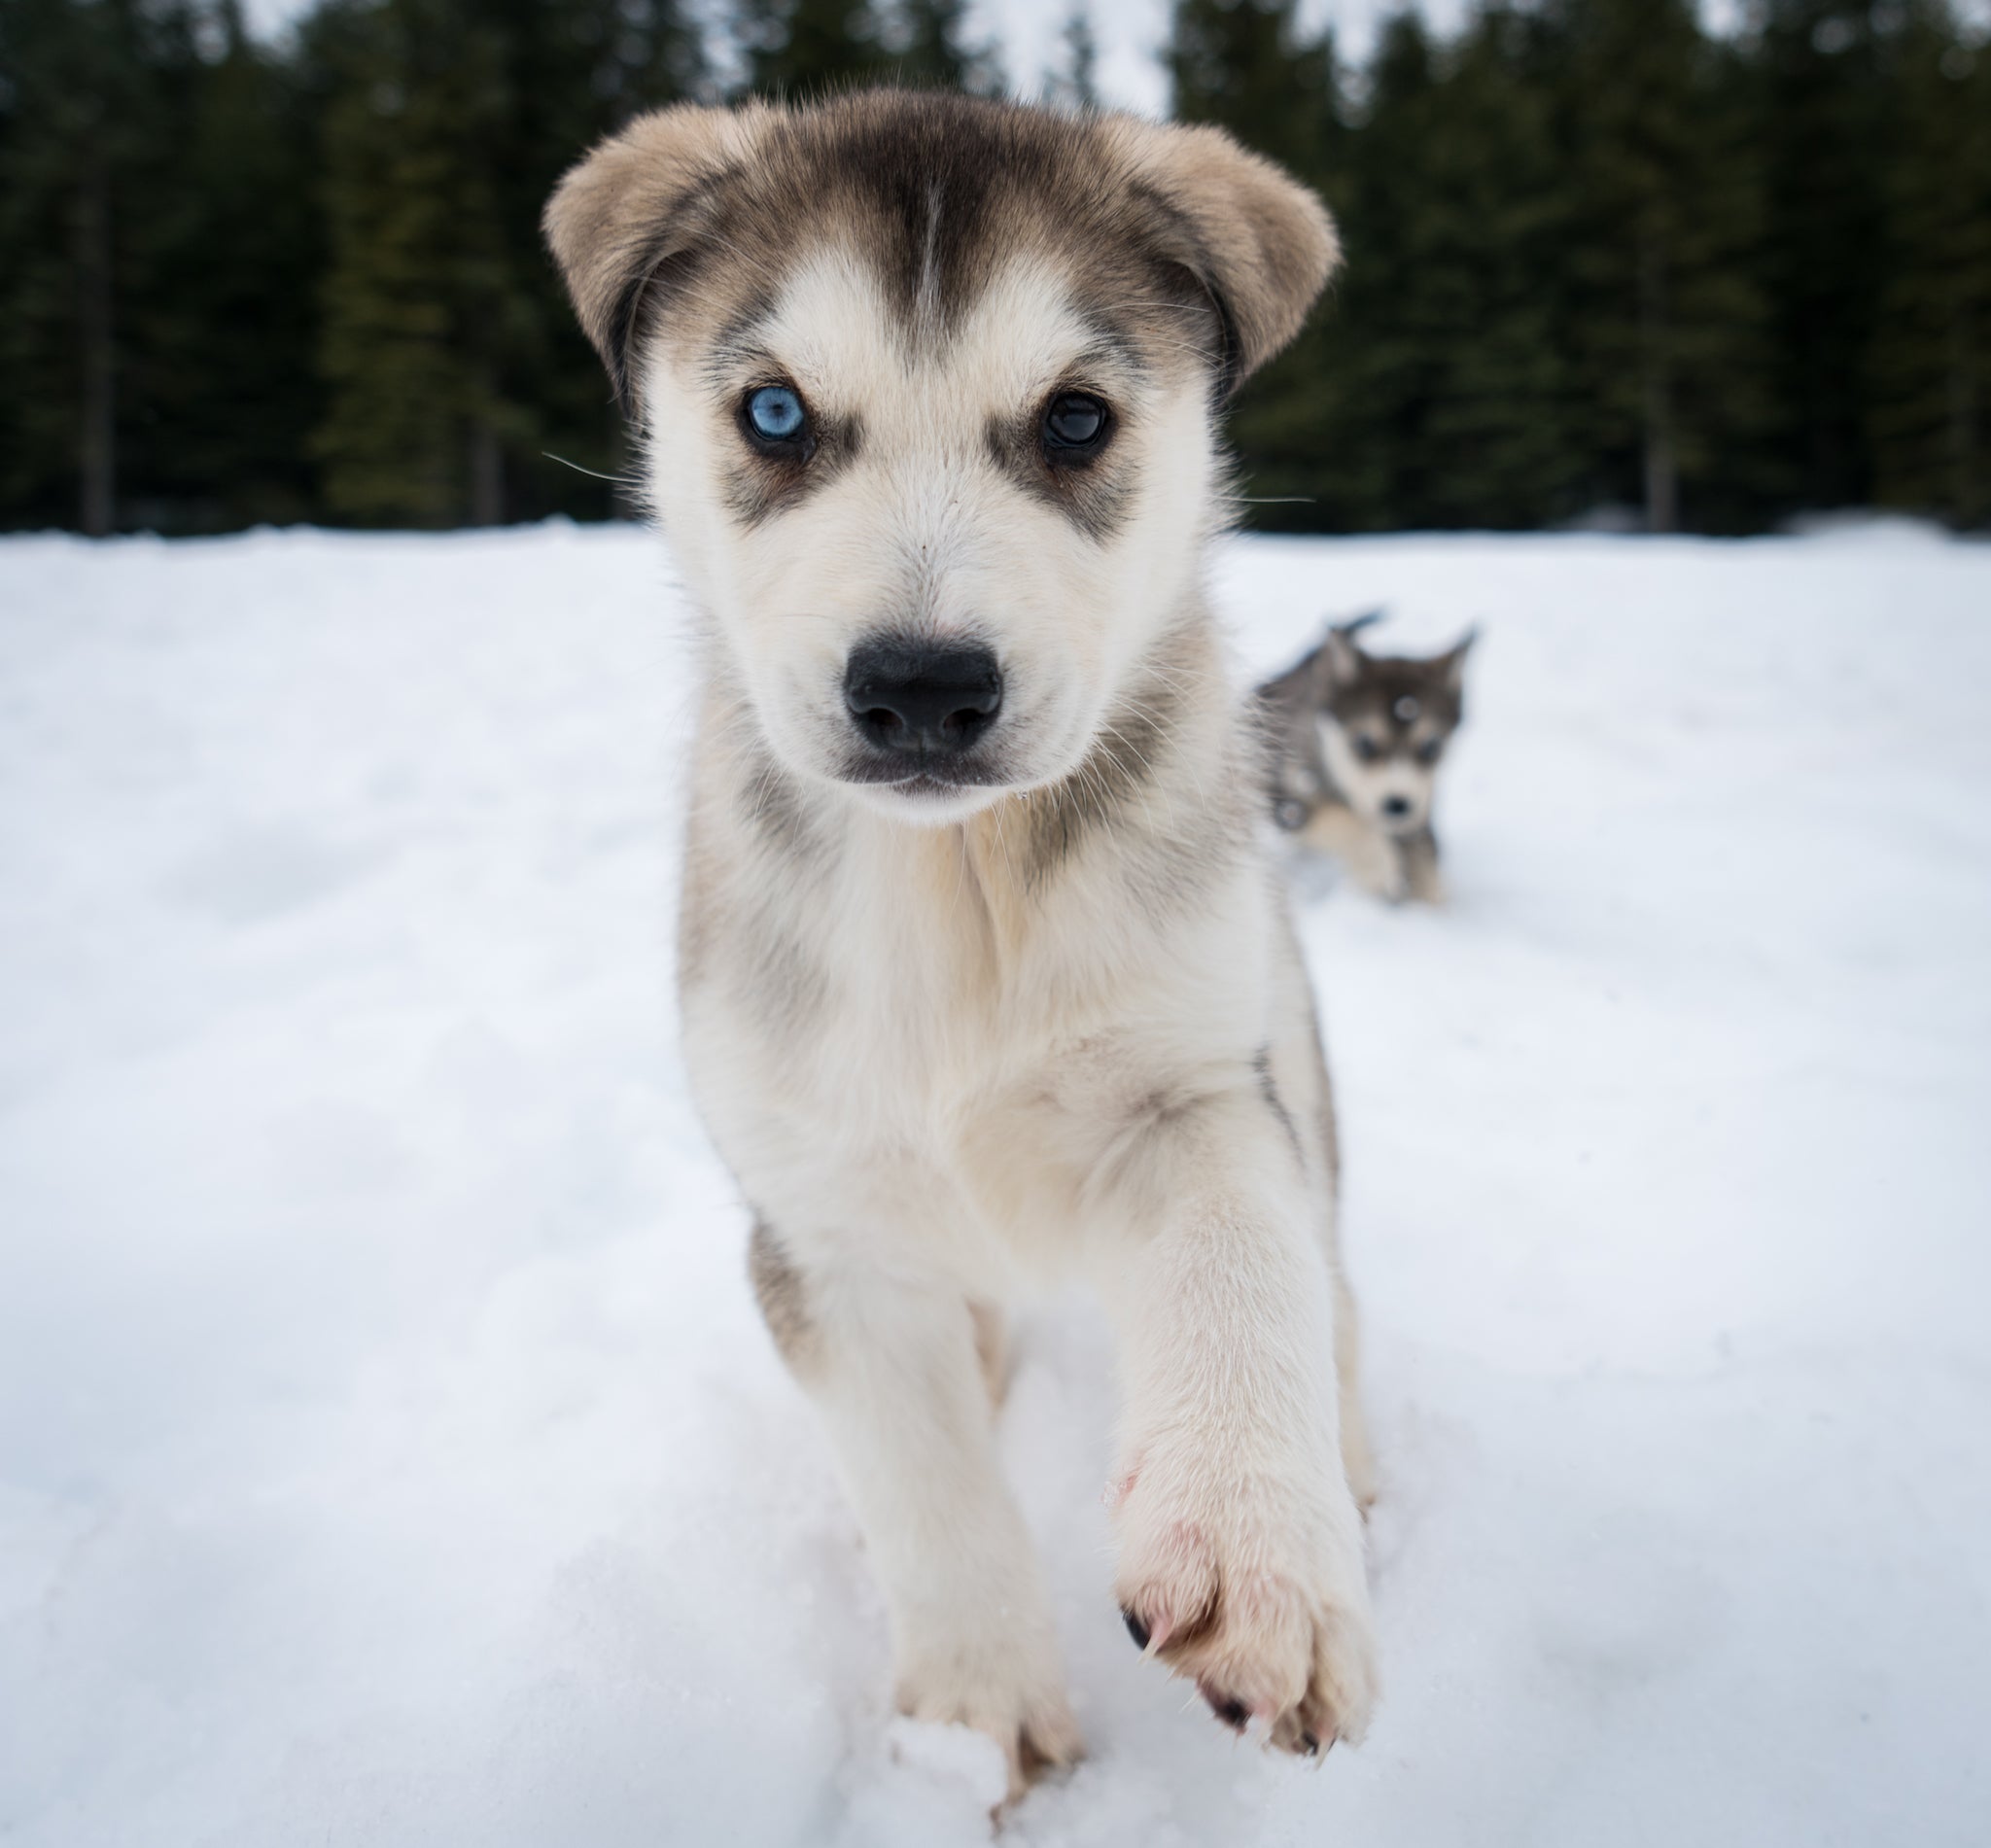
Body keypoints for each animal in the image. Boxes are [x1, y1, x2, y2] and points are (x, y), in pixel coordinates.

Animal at [545, 93, 1385, 1799]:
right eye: (777, 412)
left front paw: (1262, 1550)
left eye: (1073, 421)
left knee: (1321, 1271)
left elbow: (1242, 1263)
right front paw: (974, 1720)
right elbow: (923, 1486)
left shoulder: (1195, 1089)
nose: (923, 685)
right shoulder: (824, 1221)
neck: (957, 894)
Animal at [1258, 621, 1481, 904]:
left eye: (1431, 746)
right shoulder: (1282, 791)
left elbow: (1424, 858)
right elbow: (1343, 821)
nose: (1398, 805)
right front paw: (1379, 870)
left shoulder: (1420, 809)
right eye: (1364, 743)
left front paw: (1430, 902)